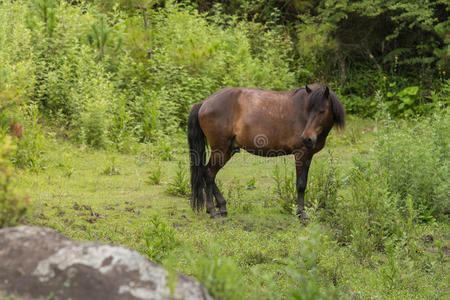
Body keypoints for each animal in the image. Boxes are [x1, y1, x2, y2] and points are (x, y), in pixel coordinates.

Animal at [186, 83, 344, 219]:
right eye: (308, 110)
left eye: (322, 111)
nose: (307, 138)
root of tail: (204, 103)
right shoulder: (302, 154)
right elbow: (301, 184)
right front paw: (301, 213)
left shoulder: (308, 155)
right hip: (220, 149)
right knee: (209, 174)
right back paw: (213, 210)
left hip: (227, 151)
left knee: (208, 174)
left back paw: (222, 207)